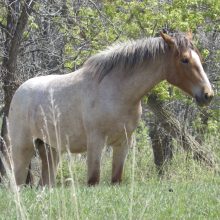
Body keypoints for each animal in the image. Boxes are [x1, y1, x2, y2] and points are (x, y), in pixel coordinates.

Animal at [8, 31, 213, 186]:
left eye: (199, 58)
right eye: (184, 60)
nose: (208, 94)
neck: (116, 91)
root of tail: (19, 91)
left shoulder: (123, 143)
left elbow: (116, 179)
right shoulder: (96, 143)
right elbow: (93, 180)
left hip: (50, 151)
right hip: (22, 150)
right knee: (17, 184)